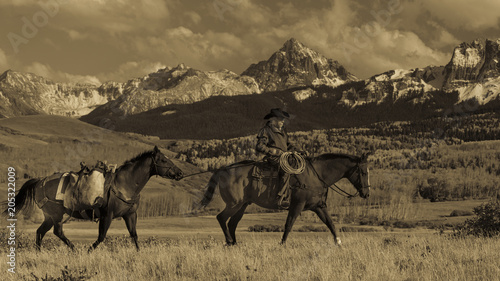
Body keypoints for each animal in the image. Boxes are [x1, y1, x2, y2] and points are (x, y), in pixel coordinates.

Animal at [6, 145, 184, 250]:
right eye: (163, 160)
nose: (180, 173)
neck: (125, 184)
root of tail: (39, 181)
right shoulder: (107, 215)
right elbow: (101, 237)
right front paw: (88, 251)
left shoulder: (130, 214)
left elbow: (134, 235)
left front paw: (139, 253)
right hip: (56, 215)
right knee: (57, 232)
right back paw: (74, 250)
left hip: (50, 216)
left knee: (40, 232)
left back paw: (40, 251)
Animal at [200, 153, 372, 245]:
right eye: (363, 172)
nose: (367, 194)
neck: (316, 176)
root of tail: (223, 169)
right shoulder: (297, 205)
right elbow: (289, 225)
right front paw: (282, 244)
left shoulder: (318, 206)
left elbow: (330, 223)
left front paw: (339, 243)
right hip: (234, 204)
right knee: (221, 218)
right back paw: (229, 241)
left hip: (242, 205)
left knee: (232, 223)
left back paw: (235, 244)